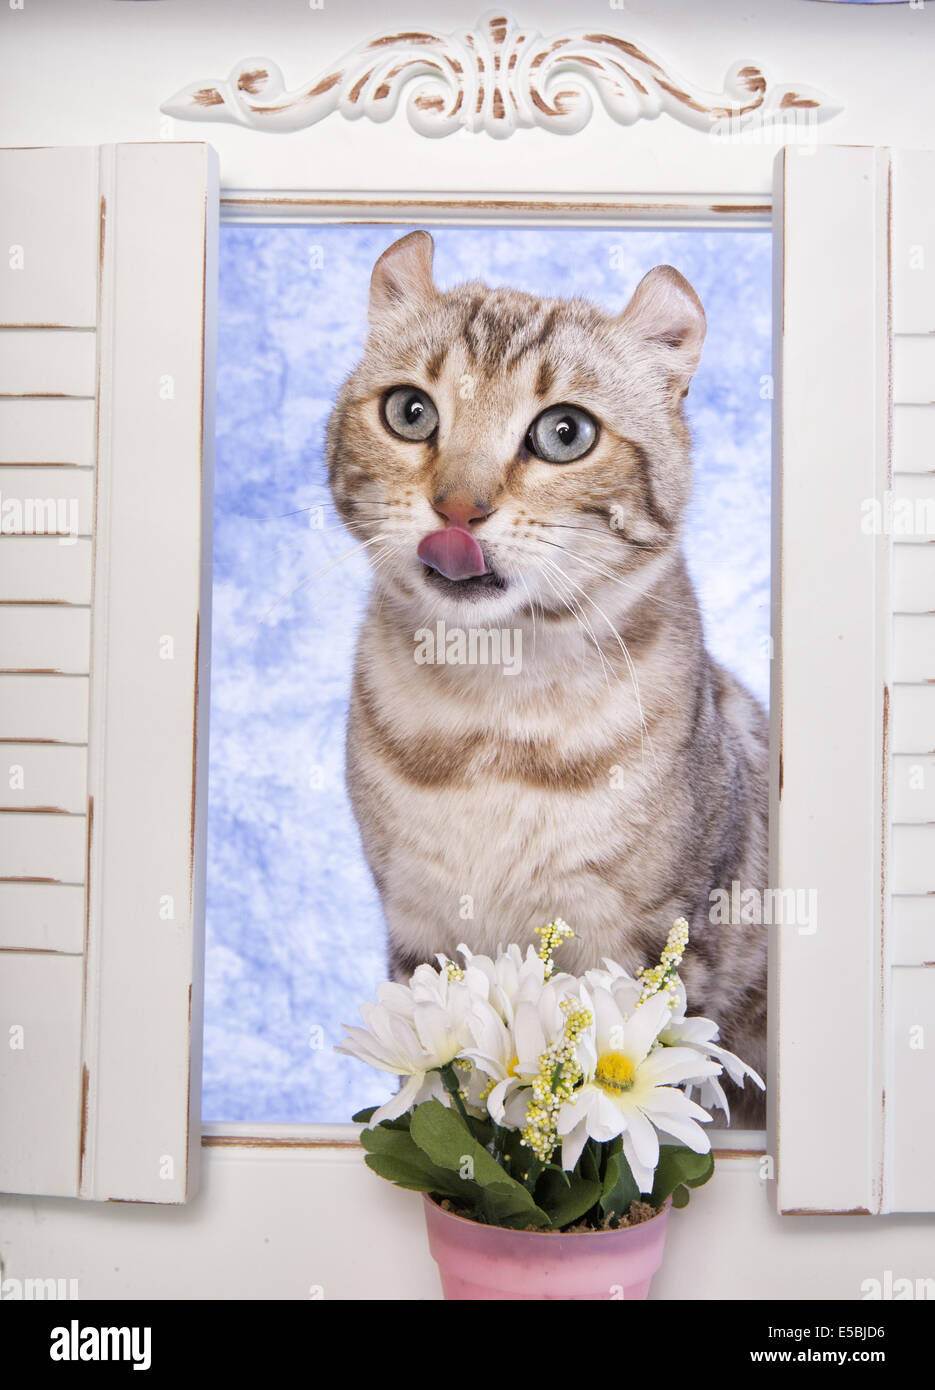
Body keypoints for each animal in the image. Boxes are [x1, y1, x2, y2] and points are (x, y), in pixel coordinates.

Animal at [326, 225, 766, 1117]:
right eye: (410, 411)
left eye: (564, 433)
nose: (457, 508)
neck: (490, 713)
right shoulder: (419, 932)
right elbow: (439, 1094)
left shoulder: (658, 944)